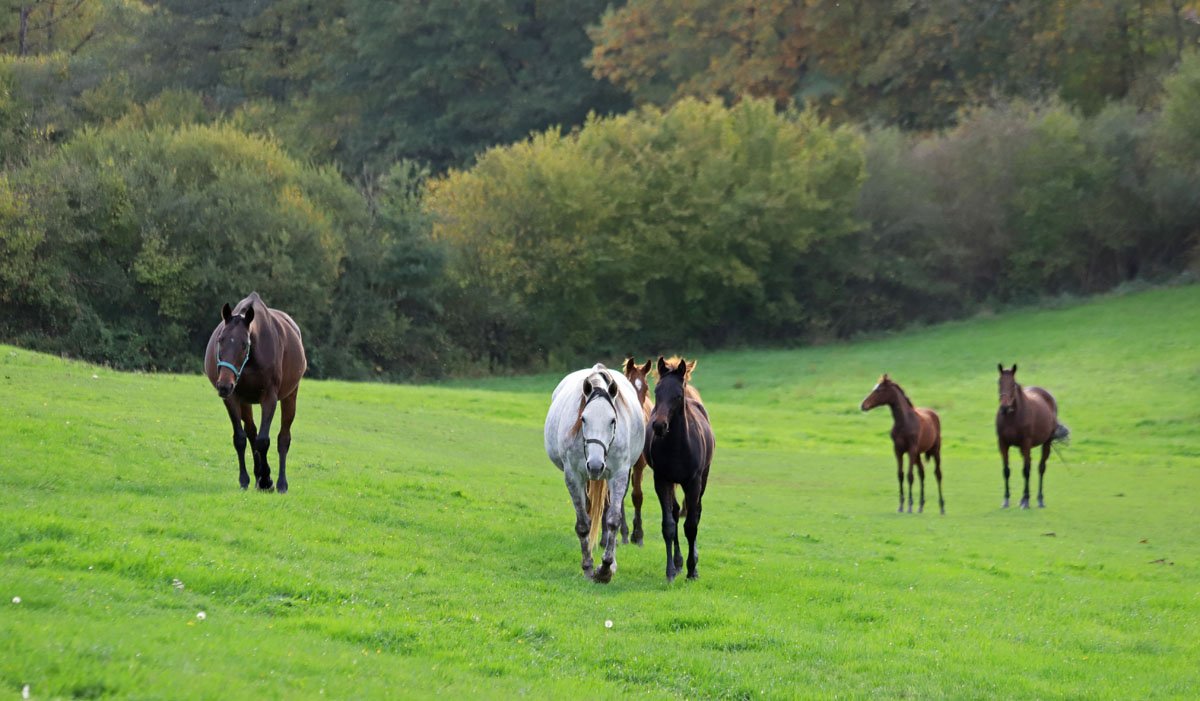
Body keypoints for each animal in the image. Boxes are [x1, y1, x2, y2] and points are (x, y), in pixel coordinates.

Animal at [203, 292, 307, 492]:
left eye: (244, 344)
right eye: (220, 340)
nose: (224, 385)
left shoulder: (270, 398)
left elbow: (263, 440)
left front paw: (267, 480)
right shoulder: (233, 398)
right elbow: (241, 438)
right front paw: (246, 479)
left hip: (290, 396)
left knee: (283, 438)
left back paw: (280, 483)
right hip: (245, 401)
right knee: (251, 432)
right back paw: (258, 475)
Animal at [544, 364, 646, 582]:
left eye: (613, 420)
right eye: (583, 418)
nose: (596, 465)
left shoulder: (619, 475)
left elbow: (613, 520)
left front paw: (606, 568)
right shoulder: (573, 476)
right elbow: (584, 524)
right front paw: (588, 566)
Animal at [645, 356, 714, 582]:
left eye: (677, 395)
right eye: (657, 391)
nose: (659, 426)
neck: (677, 446)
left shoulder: (693, 482)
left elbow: (691, 526)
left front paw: (693, 570)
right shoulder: (661, 479)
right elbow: (668, 525)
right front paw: (670, 571)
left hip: (703, 478)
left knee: (696, 513)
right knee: (675, 512)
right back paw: (677, 562)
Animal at [860, 374, 944, 514]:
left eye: (879, 390)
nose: (863, 405)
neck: (904, 421)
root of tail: (934, 413)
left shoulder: (911, 450)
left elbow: (910, 476)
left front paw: (909, 506)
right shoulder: (898, 450)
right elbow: (900, 475)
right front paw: (900, 506)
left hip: (935, 451)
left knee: (938, 474)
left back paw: (942, 507)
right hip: (918, 455)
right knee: (922, 473)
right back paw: (920, 506)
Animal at [996, 364, 1069, 509]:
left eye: (1013, 384)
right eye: (999, 382)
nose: (1004, 407)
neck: (1012, 417)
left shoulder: (1026, 444)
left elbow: (1026, 471)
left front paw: (1026, 500)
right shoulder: (1003, 444)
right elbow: (1006, 471)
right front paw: (1006, 500)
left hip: (1045, 443)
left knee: (1041, 468)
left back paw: (1039, 499)